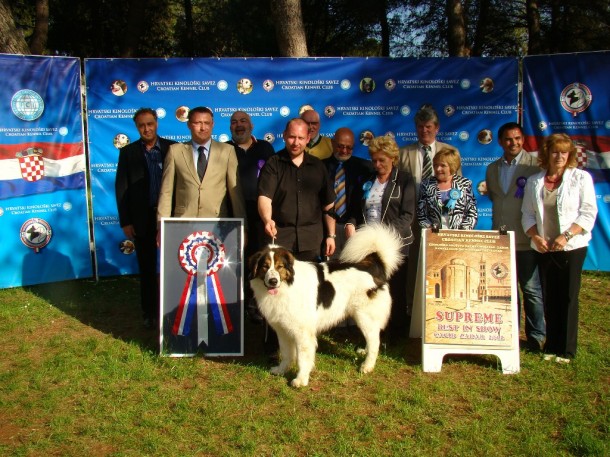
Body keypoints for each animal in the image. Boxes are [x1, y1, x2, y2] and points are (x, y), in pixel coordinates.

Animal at [248, 223, 404, 386]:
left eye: (279, 267)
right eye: (265, 267)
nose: (273, 281)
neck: (288, 286)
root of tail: (371, 266)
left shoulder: (303, 331)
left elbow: (303, 358)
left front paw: (301, 379)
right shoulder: (282, 330)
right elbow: (286, 353)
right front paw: (281, 370)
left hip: (364, 316)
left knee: (375, 341)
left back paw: (367, 365)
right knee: (372, 338)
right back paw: (364, 351)